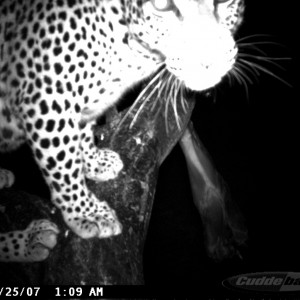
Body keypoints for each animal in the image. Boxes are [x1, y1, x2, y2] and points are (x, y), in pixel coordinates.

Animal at [0, 0, 244, 262]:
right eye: (164, 7)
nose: (211, 61)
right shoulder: (47, 100)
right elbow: (64, 166)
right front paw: (88, 214)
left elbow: (83, 137)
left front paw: (96, 163)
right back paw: (28, 241)